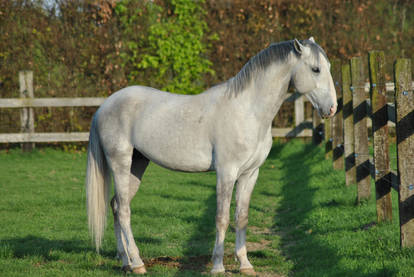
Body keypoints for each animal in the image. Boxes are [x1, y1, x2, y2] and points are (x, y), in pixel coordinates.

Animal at [86, 37, 336, 274]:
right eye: (315, 69)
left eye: (329, 66)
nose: (332, 108)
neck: (248, 111)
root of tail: (104, 106)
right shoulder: (226, 173)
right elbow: (221, 218)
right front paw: (218, 266)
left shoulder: (250, 174)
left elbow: (241, 218)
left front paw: (245, 265)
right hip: (120, 163)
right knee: (124, 211)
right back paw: (138, 263)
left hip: (137, 165)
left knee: (116, 205)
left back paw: (125, 262)